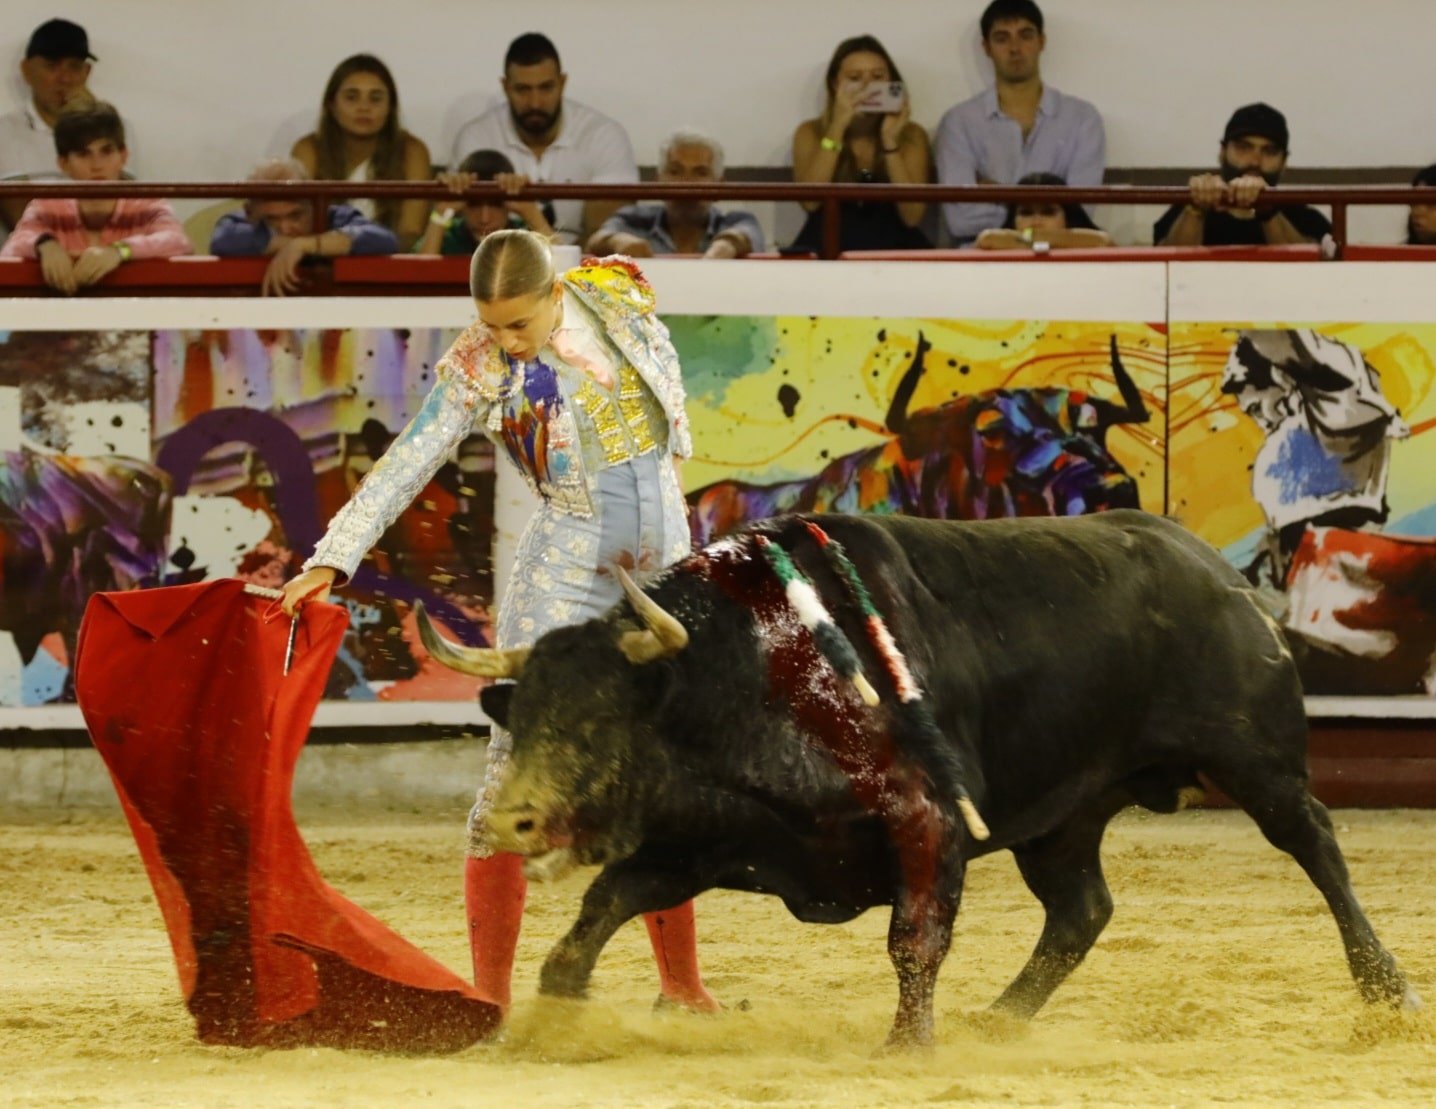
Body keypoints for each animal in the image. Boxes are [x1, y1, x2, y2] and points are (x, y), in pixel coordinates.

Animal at [416, 510, 1418, 1046]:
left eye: (598, 719)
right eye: (521, 718)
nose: (509, 822)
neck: (755, 670)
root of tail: (1216, 570)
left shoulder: (929, 820)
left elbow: (915, 939)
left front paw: (908, 1044)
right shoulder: (705, 840)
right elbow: (601, 910)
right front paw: (556, 1010)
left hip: (1257, 761)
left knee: (1319, 848)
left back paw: (1389, 991)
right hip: (1062, 816)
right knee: (1081, 909)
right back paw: (1002, 1017)